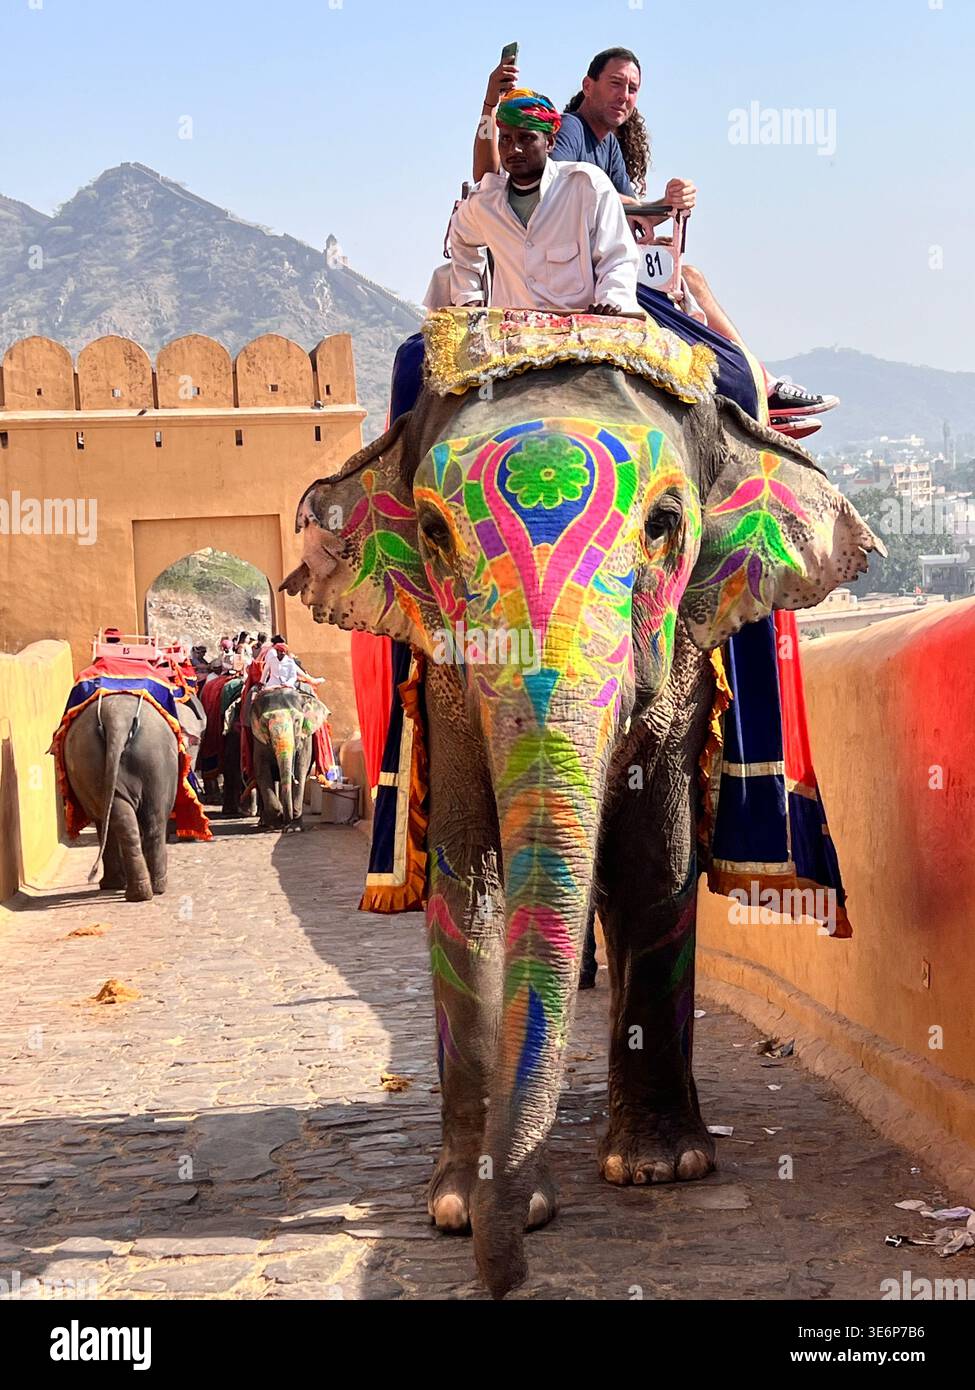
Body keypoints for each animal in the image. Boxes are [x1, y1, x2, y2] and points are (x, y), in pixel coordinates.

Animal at [63, 694, 180, 901]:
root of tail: (116, 718)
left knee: (136, 819)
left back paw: (138, 890)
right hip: (154, 760)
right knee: (151, 819)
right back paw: (146, 890)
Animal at [249, 685, 326, 830]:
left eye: (297, 721)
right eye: (265, 723)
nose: (286, 822)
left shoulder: (305, 737)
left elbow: (301, 768)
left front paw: (293, 828)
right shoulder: (258, 738)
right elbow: (261, 768)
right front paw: (277, 821)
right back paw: (265, 822)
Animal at [280, 360, 883, 1298]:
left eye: (665, 525)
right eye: (431, 531)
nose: (506, 1281)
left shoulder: (679, 662)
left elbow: (652, 867)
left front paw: (658, 1170)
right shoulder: (446, 683)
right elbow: (470, 881)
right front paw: (463, 1207)